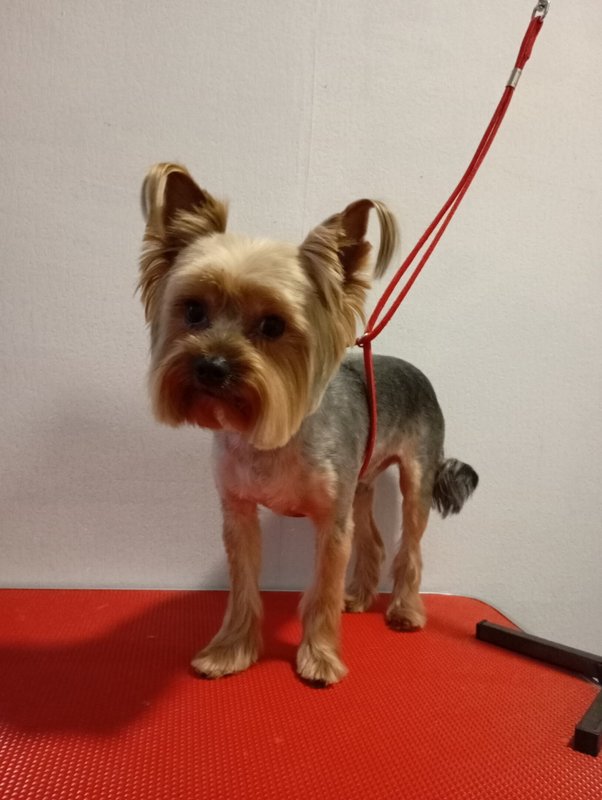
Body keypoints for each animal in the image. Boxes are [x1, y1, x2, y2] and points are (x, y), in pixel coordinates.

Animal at [138, 162, 478, 685]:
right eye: (193, 310)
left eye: (273, 326)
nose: (212, 367)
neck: (272, 434)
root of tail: (415, 370)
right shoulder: (238, 513)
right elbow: (243, 586)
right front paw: (230, 651)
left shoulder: (330, 522)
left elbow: (320, 591)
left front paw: (319, 658)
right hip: (360, 482)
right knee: (373, 538)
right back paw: (358, 597)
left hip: (416, 476)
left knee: (410, 544)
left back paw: (404, 610)